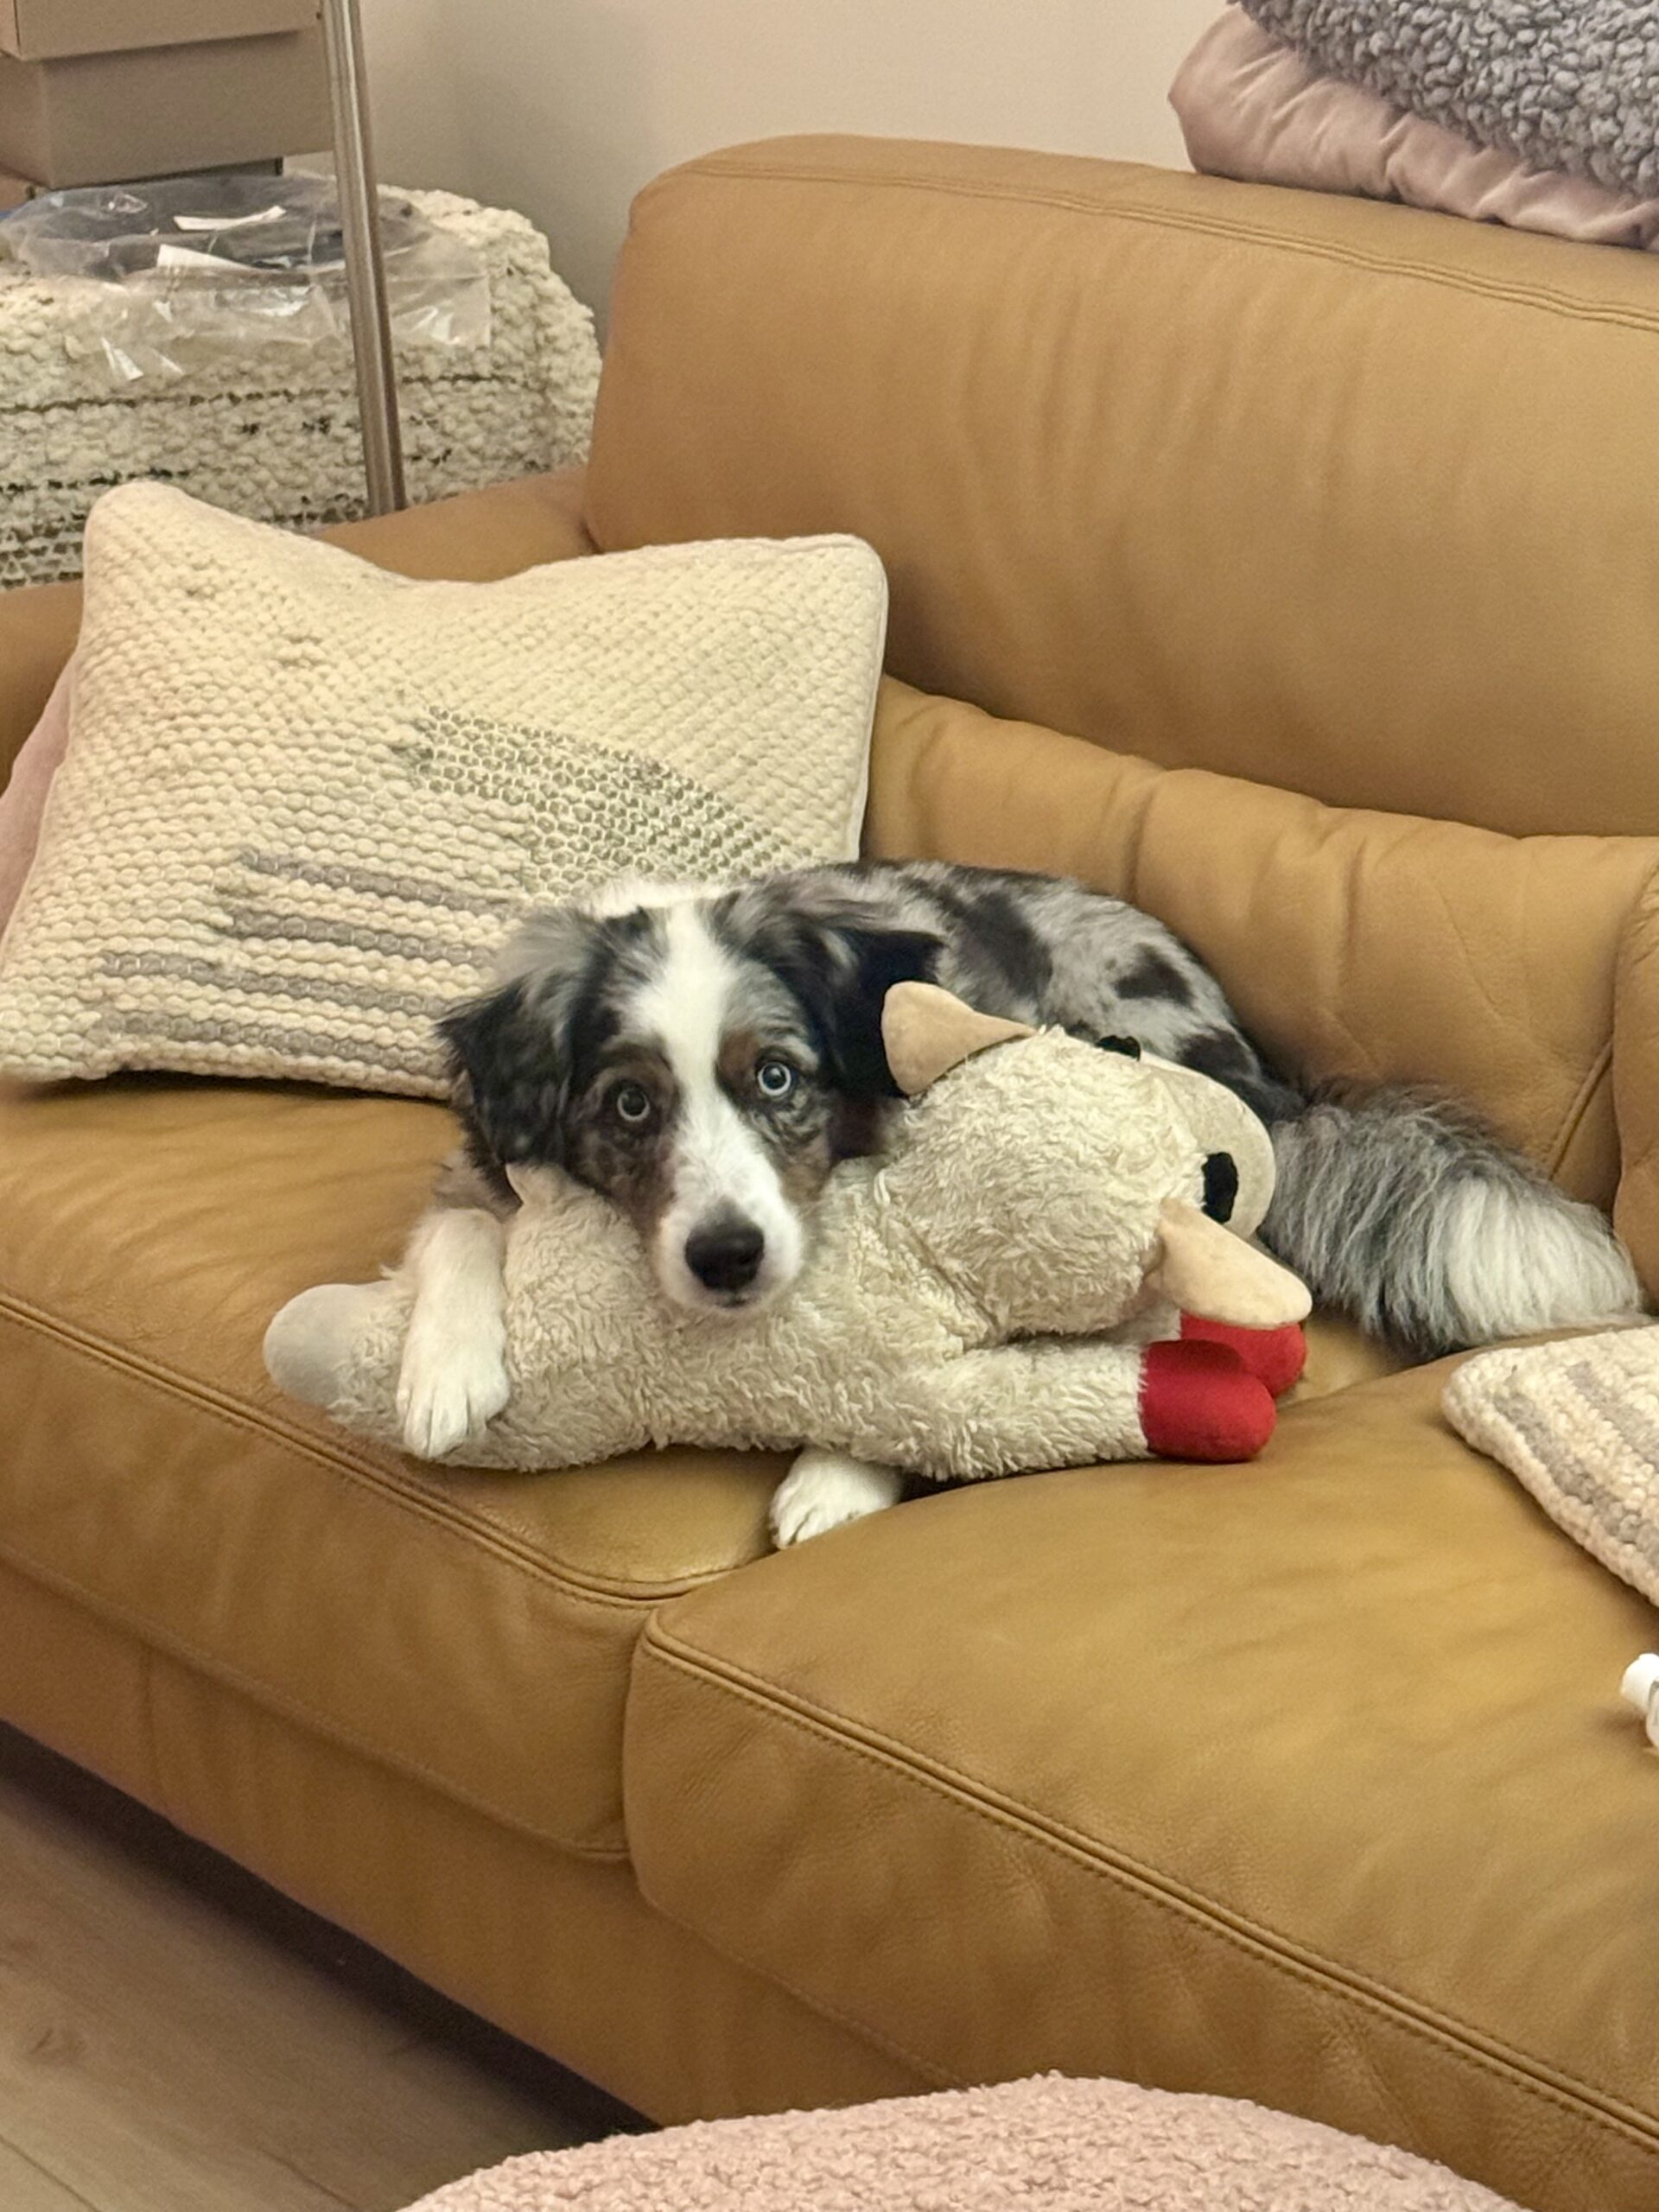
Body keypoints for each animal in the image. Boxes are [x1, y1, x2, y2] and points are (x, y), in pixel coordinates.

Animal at [394, 861, 1645, 1542]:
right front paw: (443, 1376)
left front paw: (838, 1477)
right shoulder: (480, 1165)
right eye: (630, 1105)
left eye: (778, 1078)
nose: (728, 1258)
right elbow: (456, 1228)